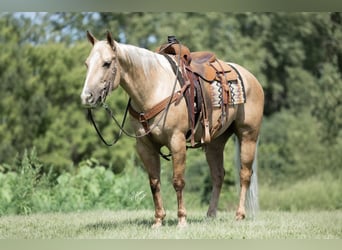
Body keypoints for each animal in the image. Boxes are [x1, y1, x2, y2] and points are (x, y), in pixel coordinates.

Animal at [81, 30, 264, 228]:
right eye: (87, 63)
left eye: (107, 63)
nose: (86, 97)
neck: (153, 87)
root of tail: (250, 77)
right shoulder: (145, 146)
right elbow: (154, 182)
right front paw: (158, 220)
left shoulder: (177, 141)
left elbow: (178, 181)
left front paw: (182, 220)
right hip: (215, 142)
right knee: (218, 175)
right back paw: (210, 214)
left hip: (248, 135)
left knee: (244, 174)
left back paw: (239, 214)